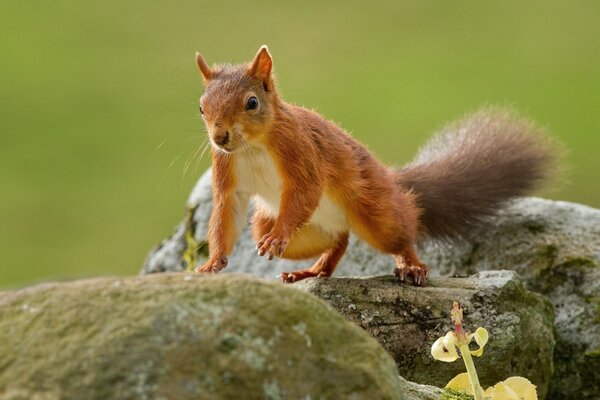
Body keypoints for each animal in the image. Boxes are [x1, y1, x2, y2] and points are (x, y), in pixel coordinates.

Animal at [192, 45, 556, 286]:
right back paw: (311, 270)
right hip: (289, 226)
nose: (220, 137)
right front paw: (212, 263)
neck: (252, 146)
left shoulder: (301, 152)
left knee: (401, 232)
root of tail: (391, 180)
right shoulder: (227, 171)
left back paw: (411, 266)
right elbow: (225, 212)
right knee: (339, 240)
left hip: (376, 212)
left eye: (251, 103)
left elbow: (306, 188)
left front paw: (277, 238)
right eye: (201, 107)